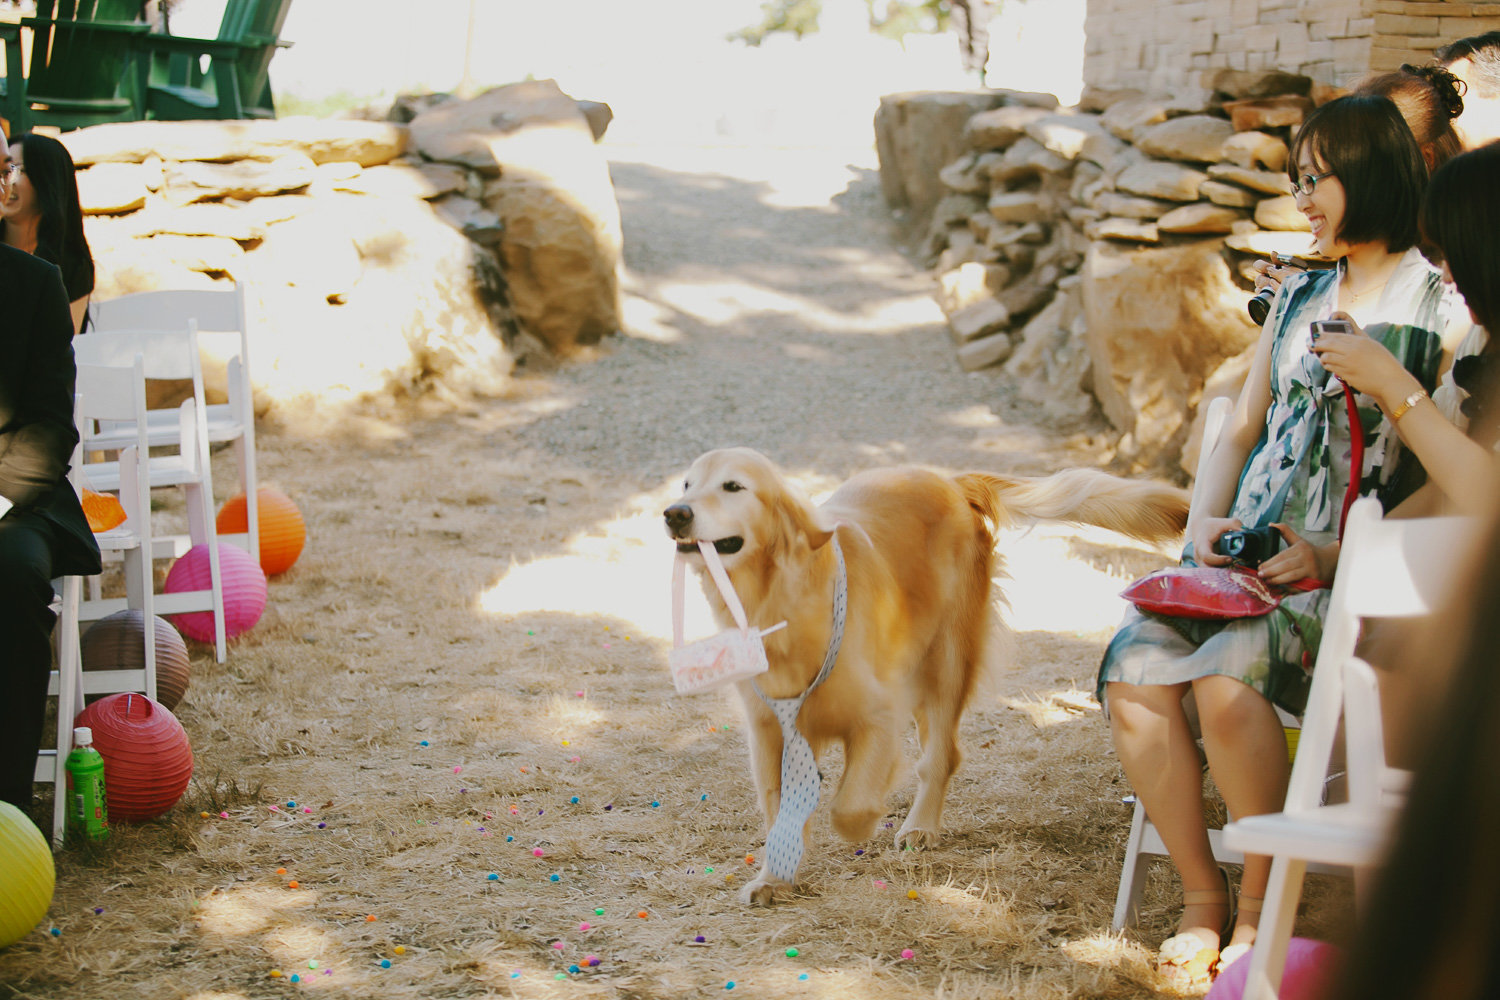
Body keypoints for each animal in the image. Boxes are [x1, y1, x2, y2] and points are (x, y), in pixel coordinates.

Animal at [663, 449, 1188, 905]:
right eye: (686, 483)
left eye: (733, 486)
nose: (674, 514)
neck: (780, 599)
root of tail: (951, 481)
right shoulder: (769, 731)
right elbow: (778, 810)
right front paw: (774, 878)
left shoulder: (877, 714)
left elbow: (850, 806)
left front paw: (856, 824)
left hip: (944, 665)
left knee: (942, 756)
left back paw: (920, 827)